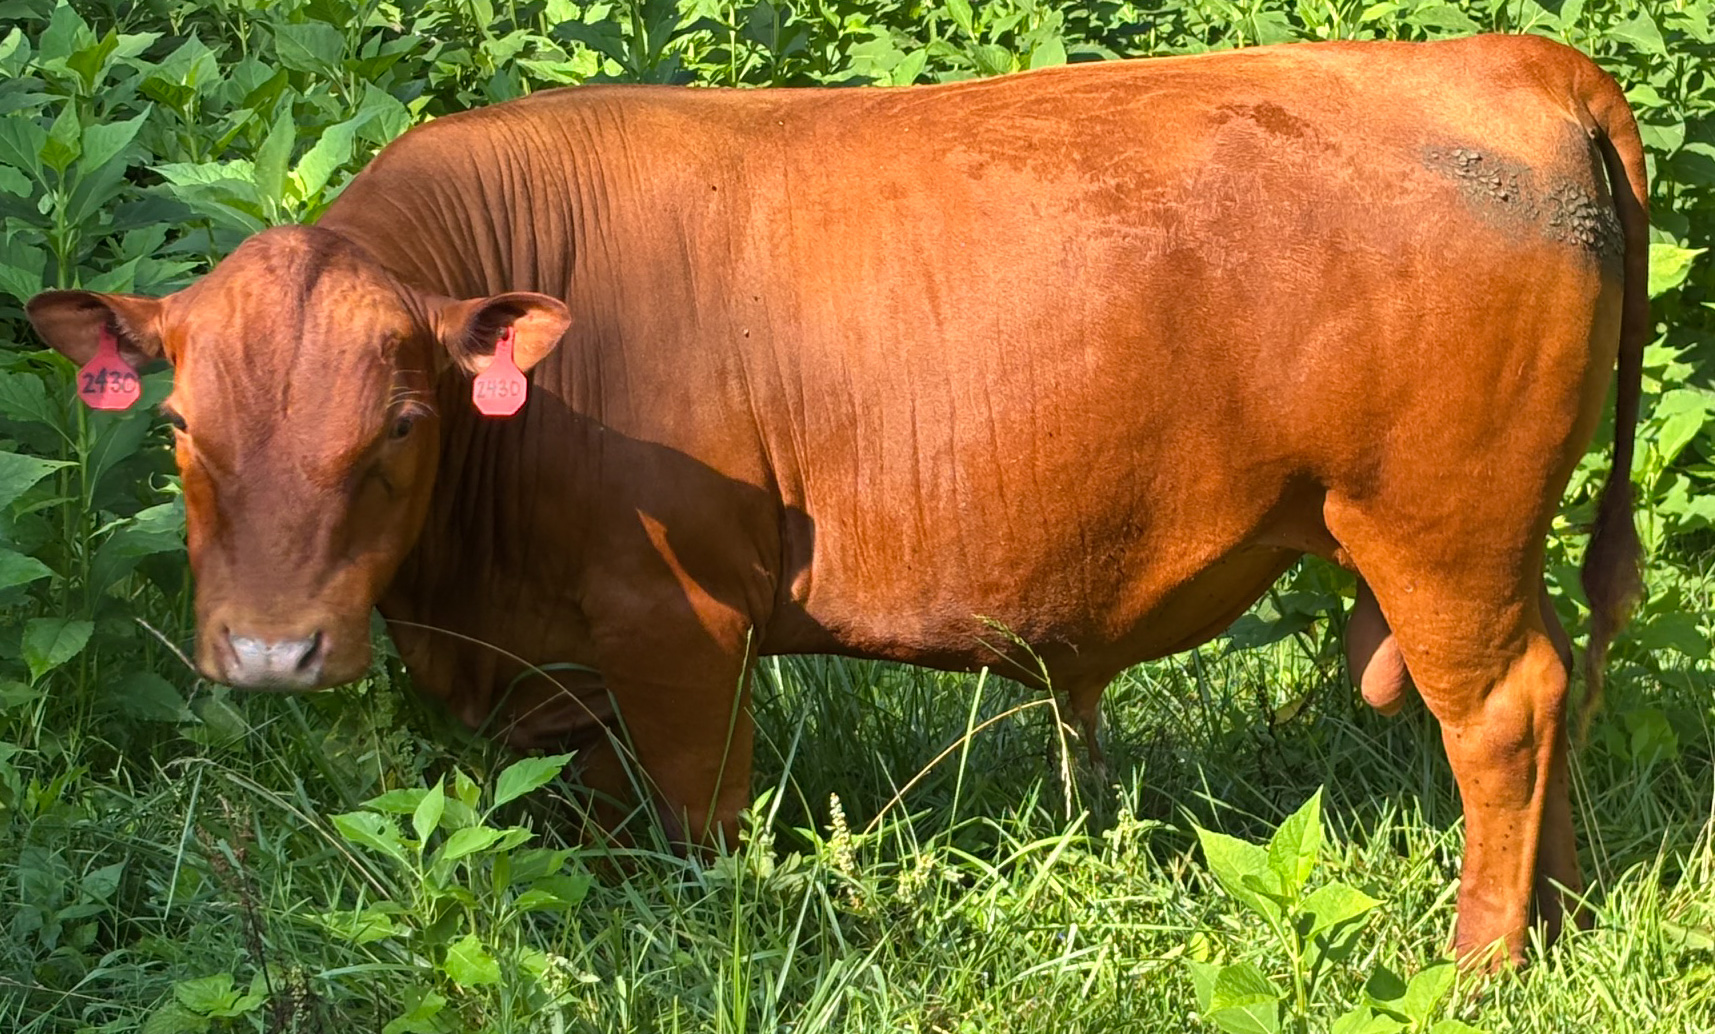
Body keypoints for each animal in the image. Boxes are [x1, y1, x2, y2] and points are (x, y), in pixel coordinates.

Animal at [26, 32, 1647, 966]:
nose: (268, 651)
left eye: (403, 422)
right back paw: (1559, 924)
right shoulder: (549, 667)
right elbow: (576, 827)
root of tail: (1501, 51)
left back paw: (1480, 960)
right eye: (180, 425)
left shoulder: (679, 623)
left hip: (1434, 529)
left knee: (1499, 713)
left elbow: (697, 827)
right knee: (1553, 687)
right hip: (1483, 541)